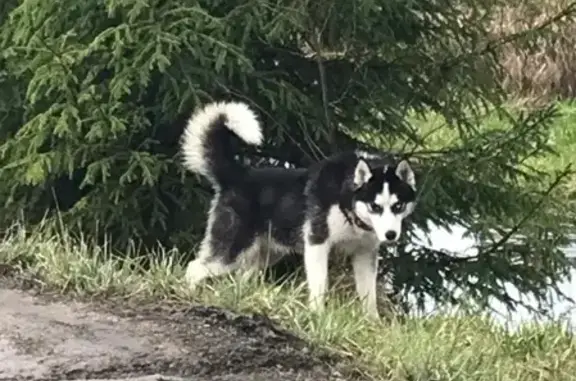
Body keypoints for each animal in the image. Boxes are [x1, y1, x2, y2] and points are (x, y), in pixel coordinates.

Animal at [179, 101, 414, 318]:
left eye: (398, 206)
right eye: (375, 206)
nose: (391, 235)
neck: (345, 196)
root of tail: (238, 175)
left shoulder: (365, 253)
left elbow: (369, 296)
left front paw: (372, 323)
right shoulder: (317, 244)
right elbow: (320, 285)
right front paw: (318, 315)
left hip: (264, 255)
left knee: (239, 278)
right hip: (231, 249)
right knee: (194, 268)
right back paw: (190, 293)